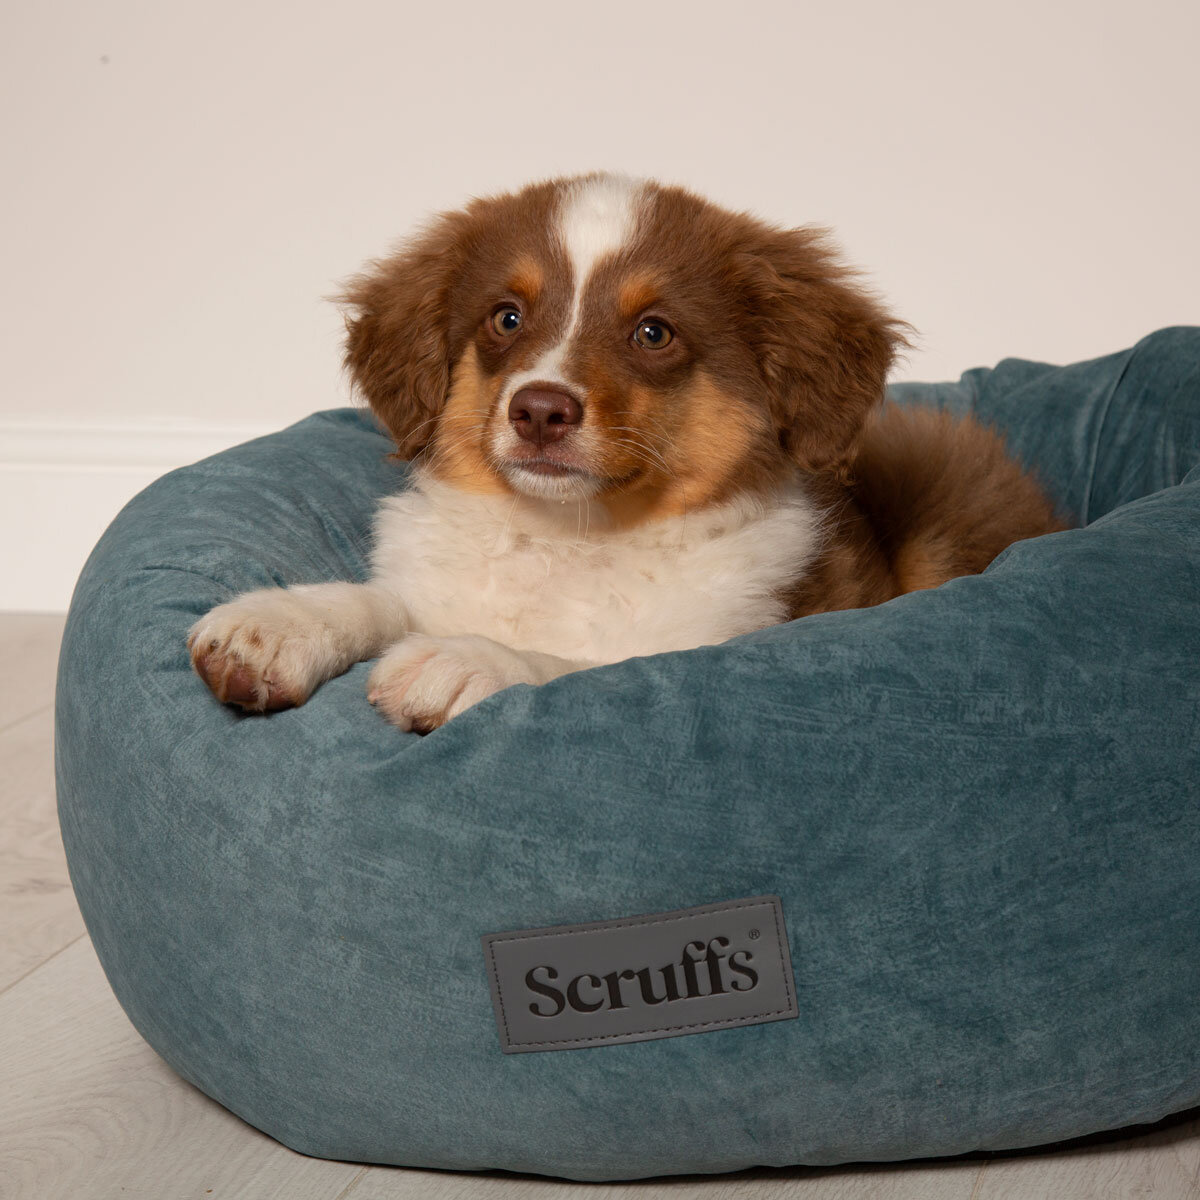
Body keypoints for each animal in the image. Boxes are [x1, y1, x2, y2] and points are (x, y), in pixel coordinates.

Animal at [192, 169, 1065, 729]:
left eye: (653, 333)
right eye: (506, 318)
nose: (539, 411)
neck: (570, 541)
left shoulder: (720, 637)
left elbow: (585, 666)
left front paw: (471, 660)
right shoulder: (435, 583)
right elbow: (380, 599)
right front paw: (280, 623)